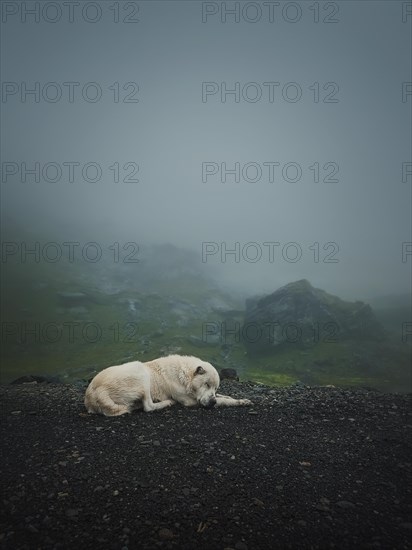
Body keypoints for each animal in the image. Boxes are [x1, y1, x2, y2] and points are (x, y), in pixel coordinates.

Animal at [84, 356, 253, 416]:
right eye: (206, 384)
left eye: (215, 387)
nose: (212, 403)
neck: (184, 376)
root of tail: (94, 392)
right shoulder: (190, 401)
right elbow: (222, 400)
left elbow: (224, 396)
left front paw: (242, 400)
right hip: (140, 371)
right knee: (148, 406)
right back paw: (167, 403)